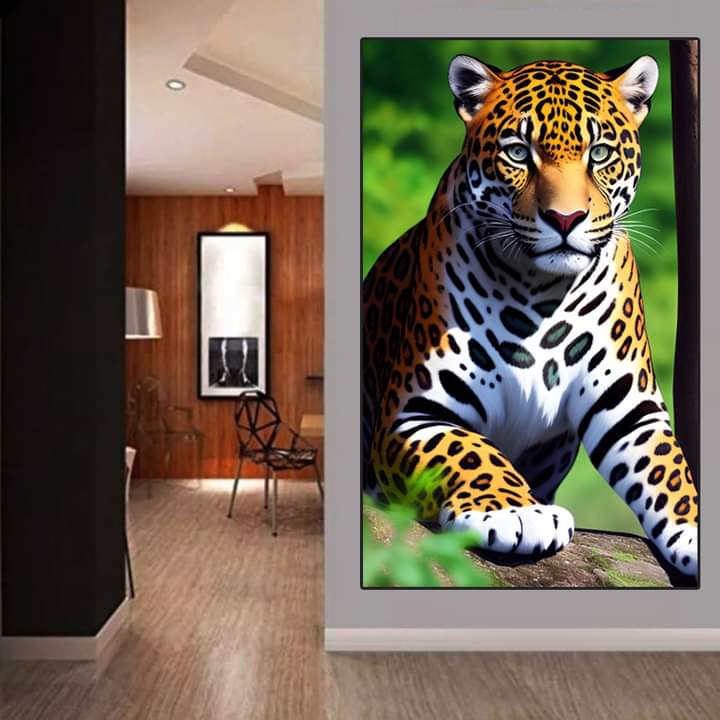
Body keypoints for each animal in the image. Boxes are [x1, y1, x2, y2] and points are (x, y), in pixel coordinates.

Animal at [362, 54, 698, 578]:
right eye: (519, 153)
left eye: (600, 153)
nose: (565, 219)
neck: (540, 290)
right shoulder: (413, 413)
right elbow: (469, 450)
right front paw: (515, 511)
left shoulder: (633, 410)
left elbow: (671, 469)